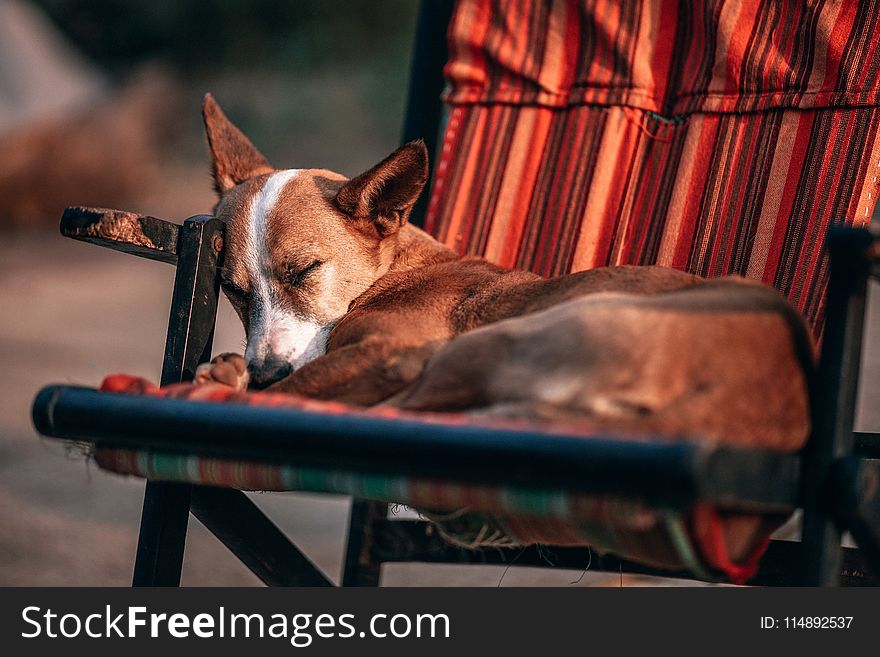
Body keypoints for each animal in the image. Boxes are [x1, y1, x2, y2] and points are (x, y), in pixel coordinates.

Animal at [194, 93, 812, 452]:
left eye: (305, 271)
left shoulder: (391, 352)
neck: (390, 274)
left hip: (493, 342)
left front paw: (248, 382)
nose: (264, 368)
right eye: (231, 289)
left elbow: (299, 386)